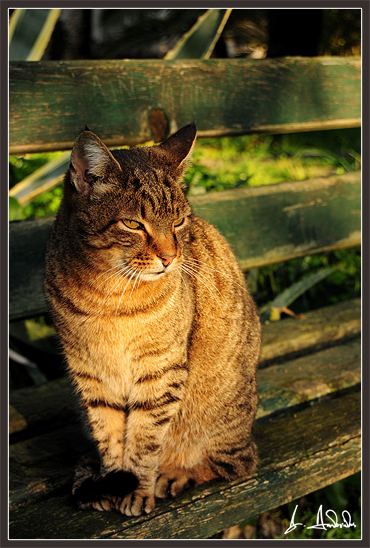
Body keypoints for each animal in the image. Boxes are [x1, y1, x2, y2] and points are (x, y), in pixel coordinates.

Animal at [44, 122, 262, 516]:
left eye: (179, 221)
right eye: (133, 224)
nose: (170, 257)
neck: (108, 293)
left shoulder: (161, 371)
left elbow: (145, 440)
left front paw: (137, 488)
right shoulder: (90, 373)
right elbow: (109, 434)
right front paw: (112, 479)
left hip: (223, 421)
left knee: (235, 465)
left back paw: (175, 475)